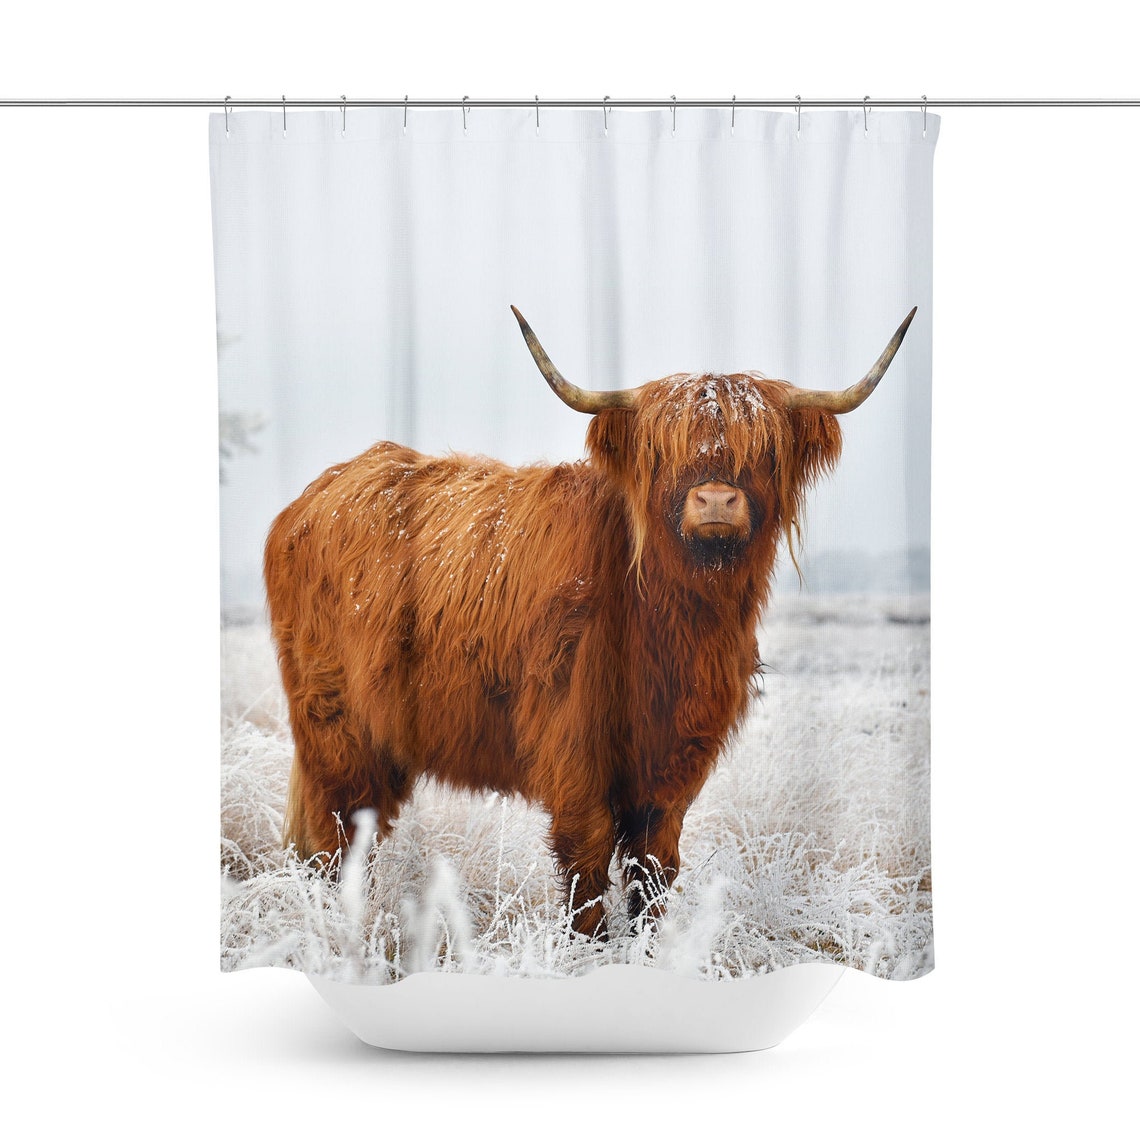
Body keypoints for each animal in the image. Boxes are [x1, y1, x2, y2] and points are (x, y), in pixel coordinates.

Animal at [265, 306, 916, 937]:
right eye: (661, 452)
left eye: (763, 450)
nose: (715, 501)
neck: (672, 624)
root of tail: (314, 496)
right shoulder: (572, 739)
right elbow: (587, 856)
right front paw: (589, 948)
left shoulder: (676, 757)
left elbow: (655, 865)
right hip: (334, 726)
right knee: (337, 835)